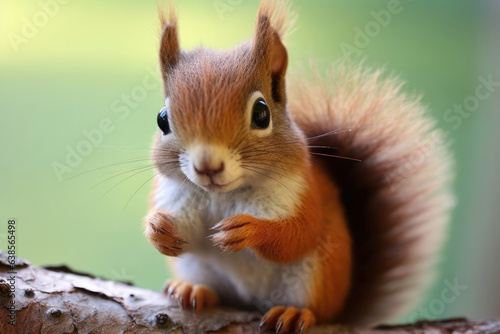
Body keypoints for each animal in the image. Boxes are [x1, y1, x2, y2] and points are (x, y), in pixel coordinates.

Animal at [144, 1, 454, 332]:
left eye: (261, 114)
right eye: (162, 119)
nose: (207, 166)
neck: (224, 194)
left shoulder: (302, 192)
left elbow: (298, 234)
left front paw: (252, 229)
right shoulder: (175, 194)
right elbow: (184, 229)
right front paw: (158, 228)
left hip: (316, 275)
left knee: (316, 308)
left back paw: (294, 313)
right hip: (199, 267)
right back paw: (194, 289)